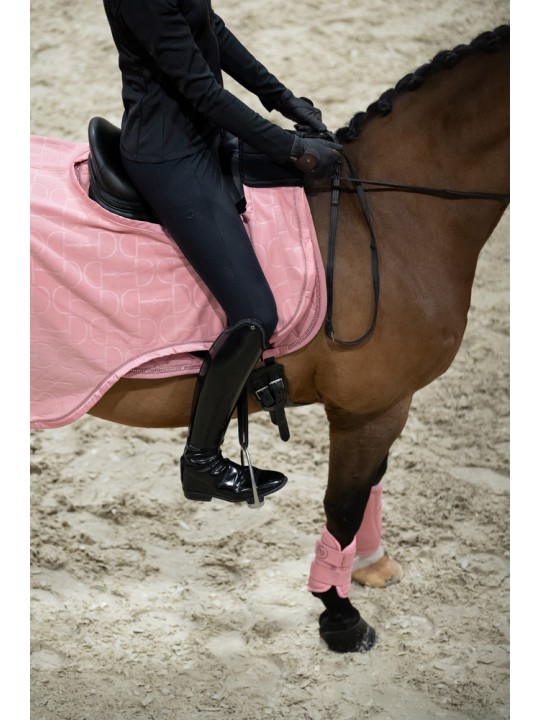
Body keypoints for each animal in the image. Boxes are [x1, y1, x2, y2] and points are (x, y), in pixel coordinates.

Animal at [32, 25, 510, 652]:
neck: (388, 216)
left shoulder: (380, 406)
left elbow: (367, 491)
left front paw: (368, 568)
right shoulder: (371, 409)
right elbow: (343, 507)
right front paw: (340, 615)